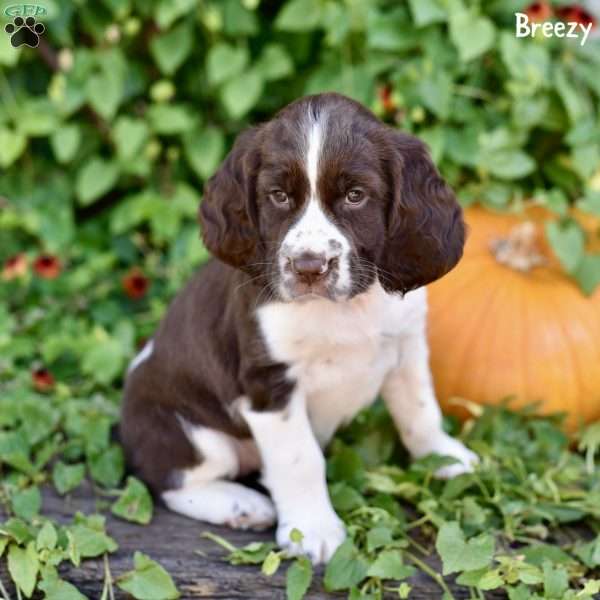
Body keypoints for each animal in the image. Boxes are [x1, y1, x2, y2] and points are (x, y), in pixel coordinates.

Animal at [120, 92, 478, 564]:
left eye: (355, 196)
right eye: (278, 196)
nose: (309, 266)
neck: (345, 309)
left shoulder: (406, 349)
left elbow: (420, 410)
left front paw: (443, 457)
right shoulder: (270, 385)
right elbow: (300, 460)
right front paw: (312, 529)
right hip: (190, 432)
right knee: (169, 480)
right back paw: (240, 504)